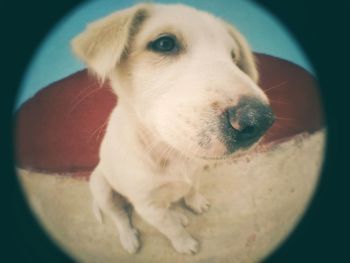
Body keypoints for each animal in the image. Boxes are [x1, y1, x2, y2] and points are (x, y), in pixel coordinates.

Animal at [70, 3, 274, 256]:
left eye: (234, 57)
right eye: (164, 44)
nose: (259, 121)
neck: (169, 152)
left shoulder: (195, 172)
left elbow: (191, 189)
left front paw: (195, 203)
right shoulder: (148, 207)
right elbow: (170, 229)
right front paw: (184, 243)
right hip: (101, 187)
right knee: (119, 215)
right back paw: (129, 237)